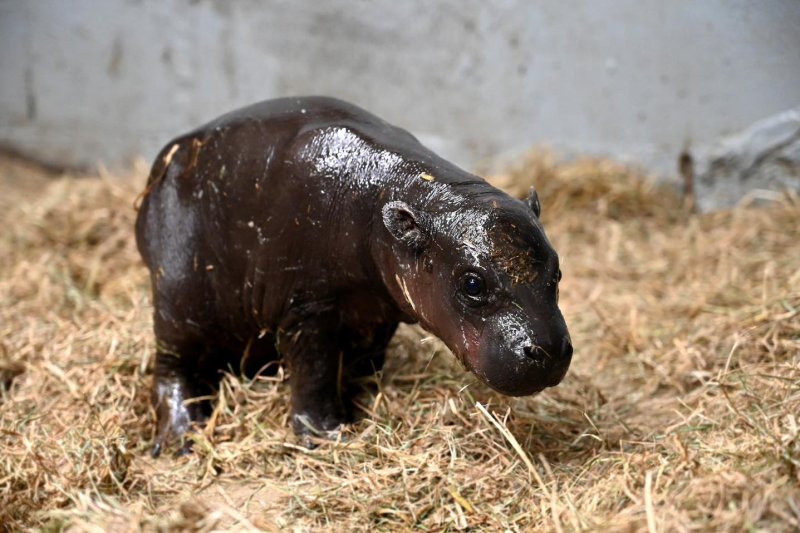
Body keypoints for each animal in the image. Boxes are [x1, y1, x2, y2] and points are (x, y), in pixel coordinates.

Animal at [134, 95, 572, 454]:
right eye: (473, 283)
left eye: (558, 271)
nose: (550, 350)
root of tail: (164, 160)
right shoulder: (307, 310)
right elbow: (315, 373)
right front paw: (327, 436)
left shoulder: (378, 310)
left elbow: (364, 359)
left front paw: (364, 400)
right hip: (179, 297)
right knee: (172, 368)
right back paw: (179, 439)